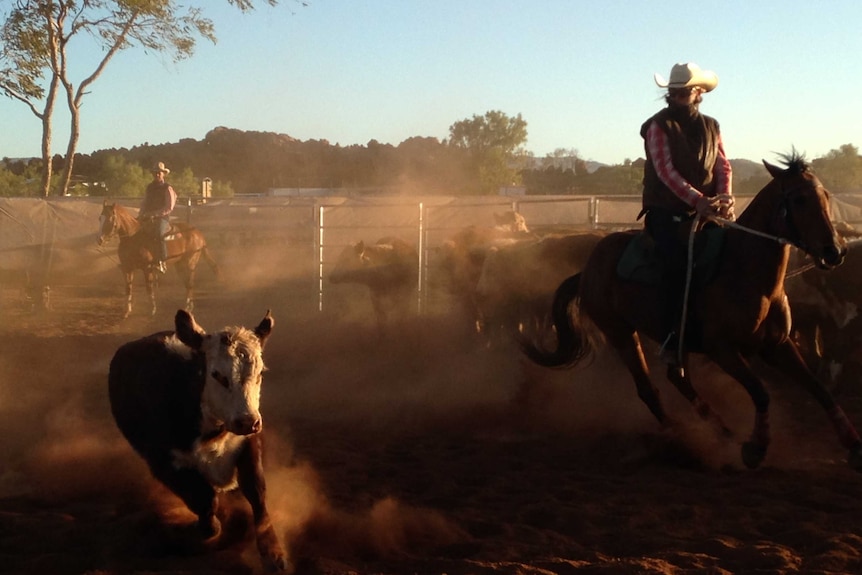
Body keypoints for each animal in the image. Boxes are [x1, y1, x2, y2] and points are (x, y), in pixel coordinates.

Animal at [108, 310, 288, 572]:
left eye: (261, 373)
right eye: (218, 375)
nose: (248, 422)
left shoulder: (248, 445)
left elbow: (257, 492)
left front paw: (273, 553)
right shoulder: (165, 463)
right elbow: (205, 502)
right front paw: (198, 528)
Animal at [520, 154, 862, 472]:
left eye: (826, 196)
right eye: (799, 199)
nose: (835, 250)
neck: (746, 274)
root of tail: (587, 269)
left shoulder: (777, 345)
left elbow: (820, 390)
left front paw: (853, 445)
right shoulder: (723, 350)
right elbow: (760, 391)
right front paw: (756, 447)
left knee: (677, 379)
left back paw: (722, 432)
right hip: (619, 332)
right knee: (648, 388)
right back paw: (679, 437)